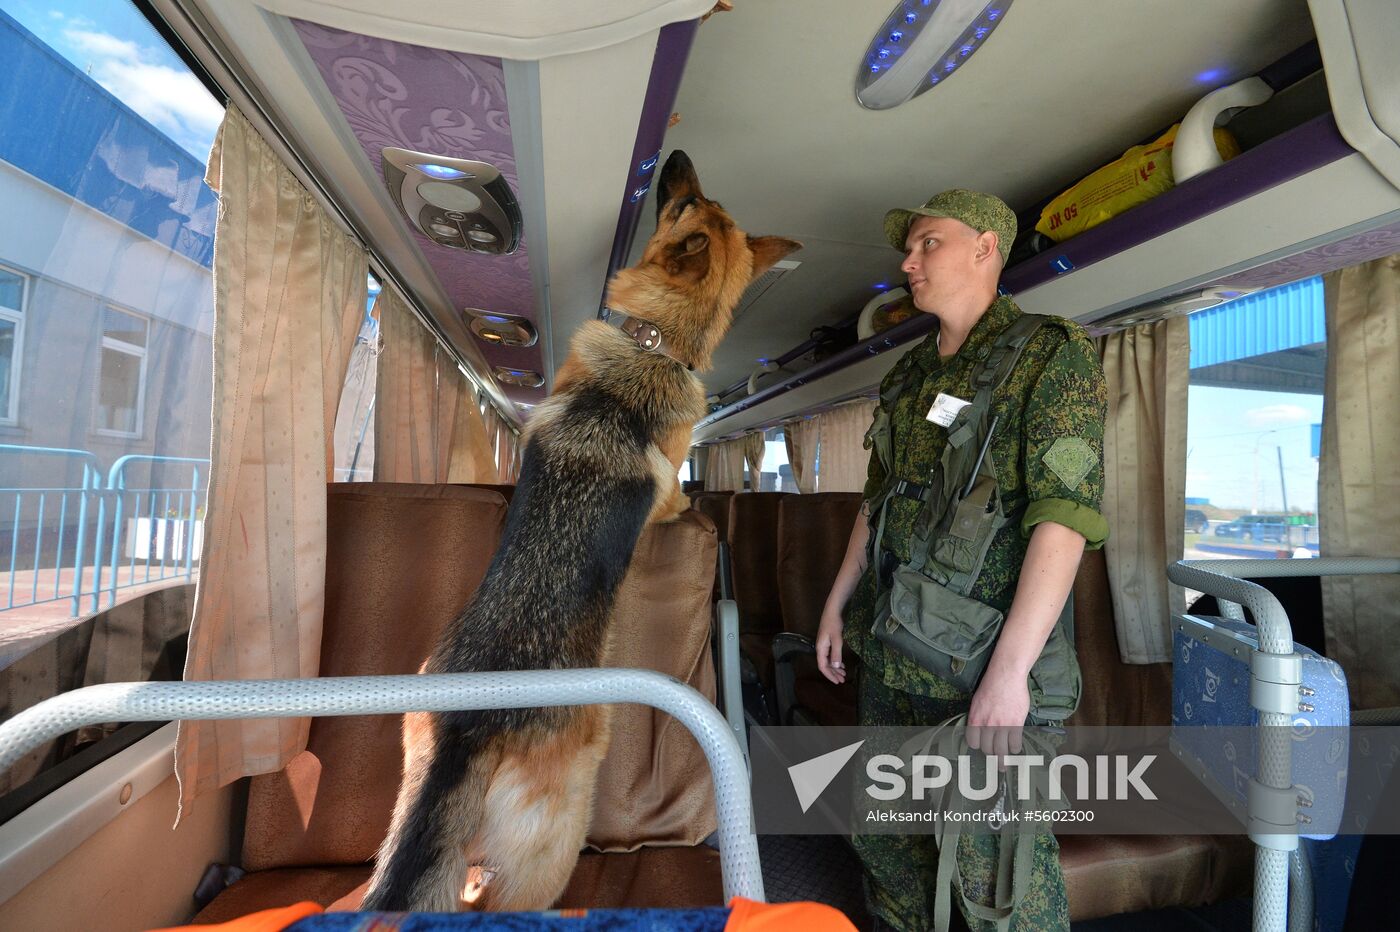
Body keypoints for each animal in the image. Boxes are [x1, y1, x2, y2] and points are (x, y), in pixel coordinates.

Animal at [361, 150, 800, 906]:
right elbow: (675, 499)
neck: (654, 347)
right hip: (557, 835)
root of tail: (476, 720)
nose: (675, 158)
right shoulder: (668, 494)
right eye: (693, 202)